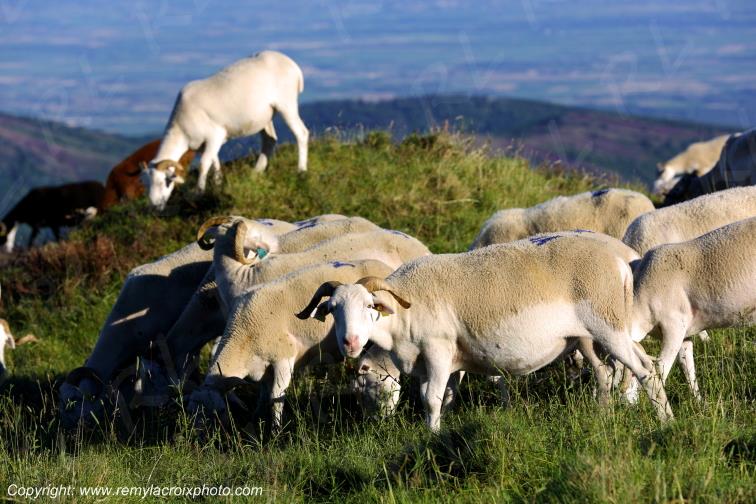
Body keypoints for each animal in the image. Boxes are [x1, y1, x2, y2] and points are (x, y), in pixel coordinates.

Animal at [142, 51, 308, 209]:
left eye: (163, 181)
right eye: (148, 183)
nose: (155, 205)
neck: (181, 130)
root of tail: (293, 65)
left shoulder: (214, 136)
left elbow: (204, 164)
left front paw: (199, 192)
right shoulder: (205, 145)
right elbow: (214, 162)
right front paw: (217, 184)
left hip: (286, 105)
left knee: (301, 133)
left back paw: (301, 171)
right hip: (266, 117)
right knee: (270, 140)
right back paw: (256, 173)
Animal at [188, 259, 399, 428]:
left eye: (220, 411)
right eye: (191, 413)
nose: (200, 442)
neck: (242, 335)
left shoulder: (283, 359)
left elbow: (275, 397)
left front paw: (276, 431)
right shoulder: (262, 368)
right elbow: (263, 396)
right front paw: (256, 421)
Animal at [299, 233, 673, 431]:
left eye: (369, 307)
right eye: (332, 310)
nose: (349, 342)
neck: (405, 313)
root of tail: (620, 263)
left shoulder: (437, 351)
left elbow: (431, 399)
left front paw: (430, 435)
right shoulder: (441, 363)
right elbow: (445, 397)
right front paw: (442, 430)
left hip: (607, 325)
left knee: (645, 369)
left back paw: (665, 421)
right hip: (592, 336)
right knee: (610, 371)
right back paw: (604, 416)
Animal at [631, 217, 756, 401]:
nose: (620, 404)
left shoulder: (674, 326)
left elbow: (661, 368)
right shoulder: (685, 334)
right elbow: (688, 368)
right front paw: (698, 402)